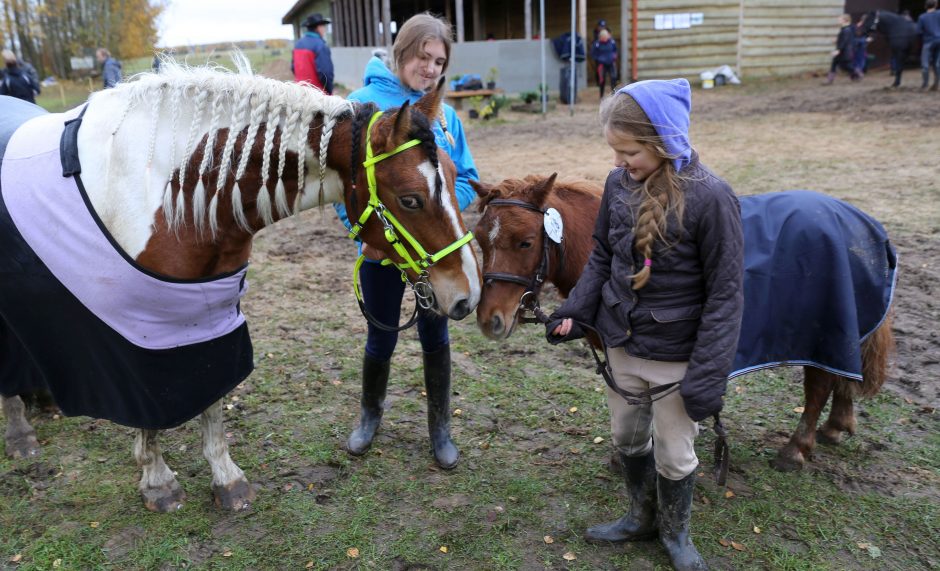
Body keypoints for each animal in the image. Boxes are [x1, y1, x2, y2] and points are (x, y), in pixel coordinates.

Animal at [0, 58, 482, 512]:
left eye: (454, 173)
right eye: (410, 199)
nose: (467, 294)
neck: (166, 191)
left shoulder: (205, 319)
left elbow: (213, 395)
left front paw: (226, 479)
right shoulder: (134, 331)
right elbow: (148, 409)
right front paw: (157, 481)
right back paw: (21, 434)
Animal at [474, 175, 900, 474]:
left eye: (526, 241)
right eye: (480, 239)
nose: (488, 320)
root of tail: (861, 223)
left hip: (823, 332)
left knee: (820, 384)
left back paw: (797, 448)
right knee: (843, 376)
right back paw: (835, 426)